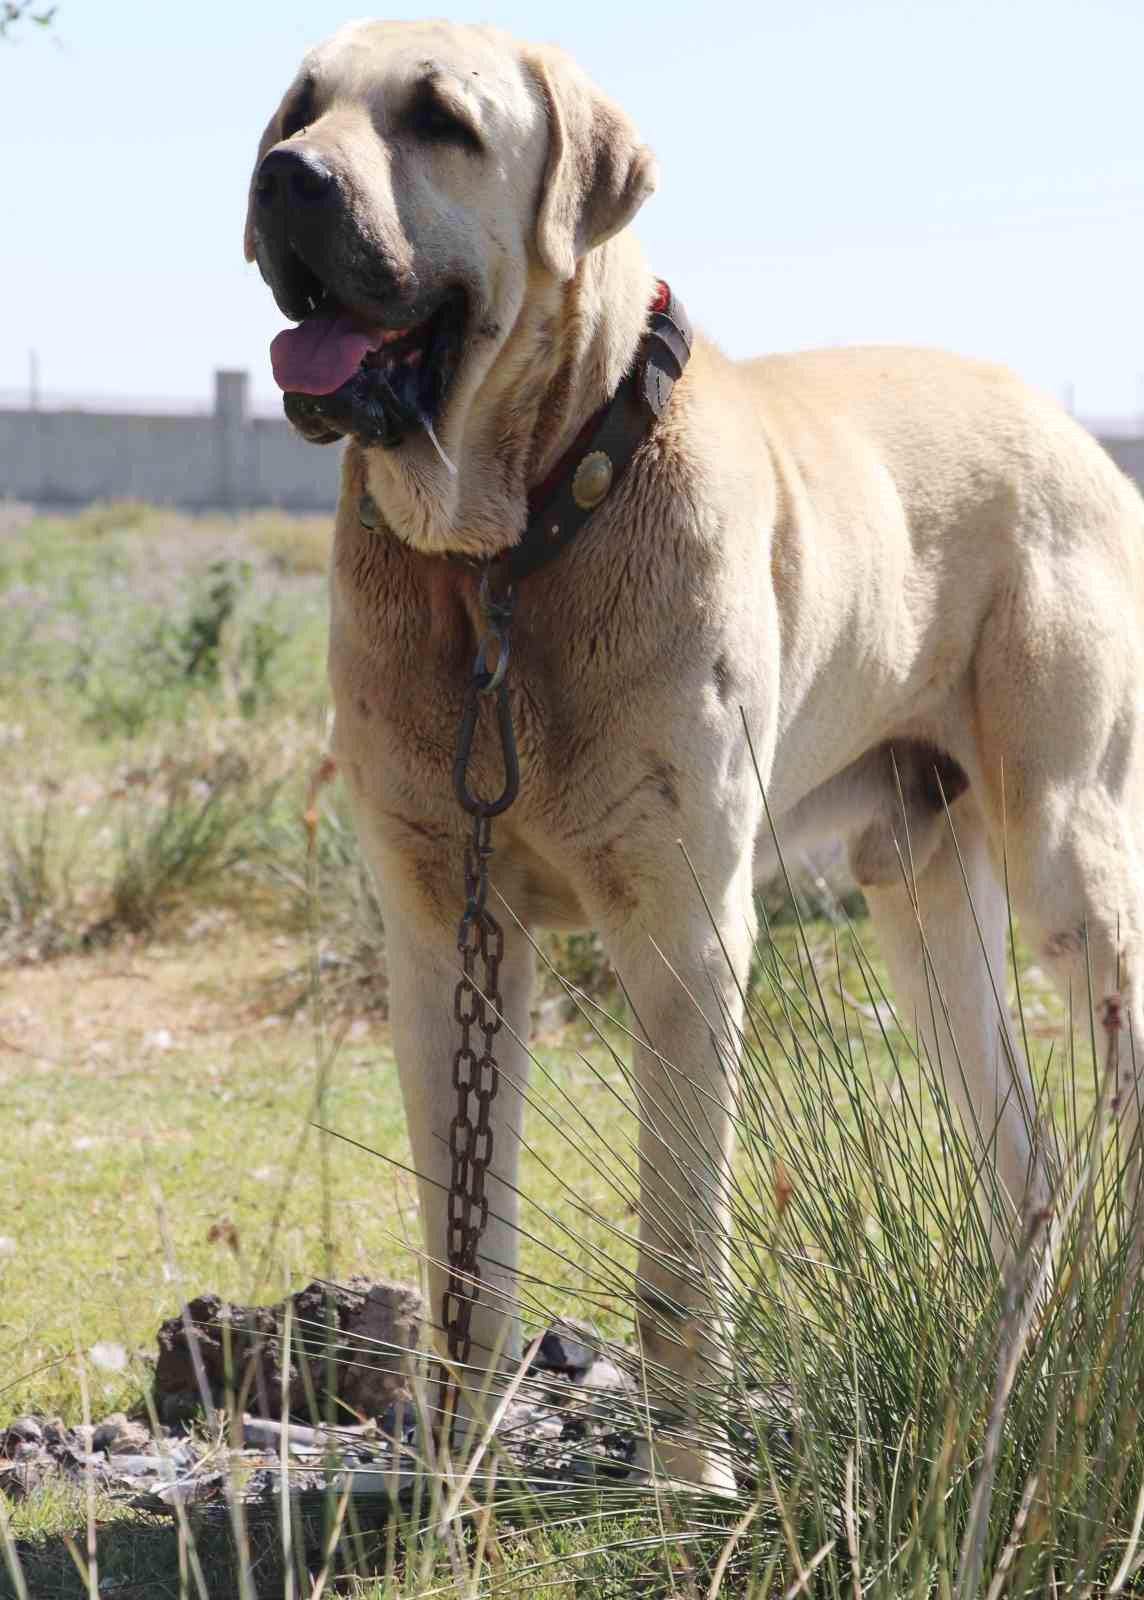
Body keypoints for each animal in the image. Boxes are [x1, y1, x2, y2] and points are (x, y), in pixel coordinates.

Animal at [248, 15, 1144, 1484]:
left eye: (439, 119)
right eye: (299, 107)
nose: (285, 179)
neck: (507, 551)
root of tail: (1073, 429)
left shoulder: (684, 931)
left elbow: (679, 1258)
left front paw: (690, 1483)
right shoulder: (442, 933)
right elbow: (464, 1260)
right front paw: (447, 1487)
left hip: (1071, 865)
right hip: (923, 905)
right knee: (1030, 1171)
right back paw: (1010, 1382)